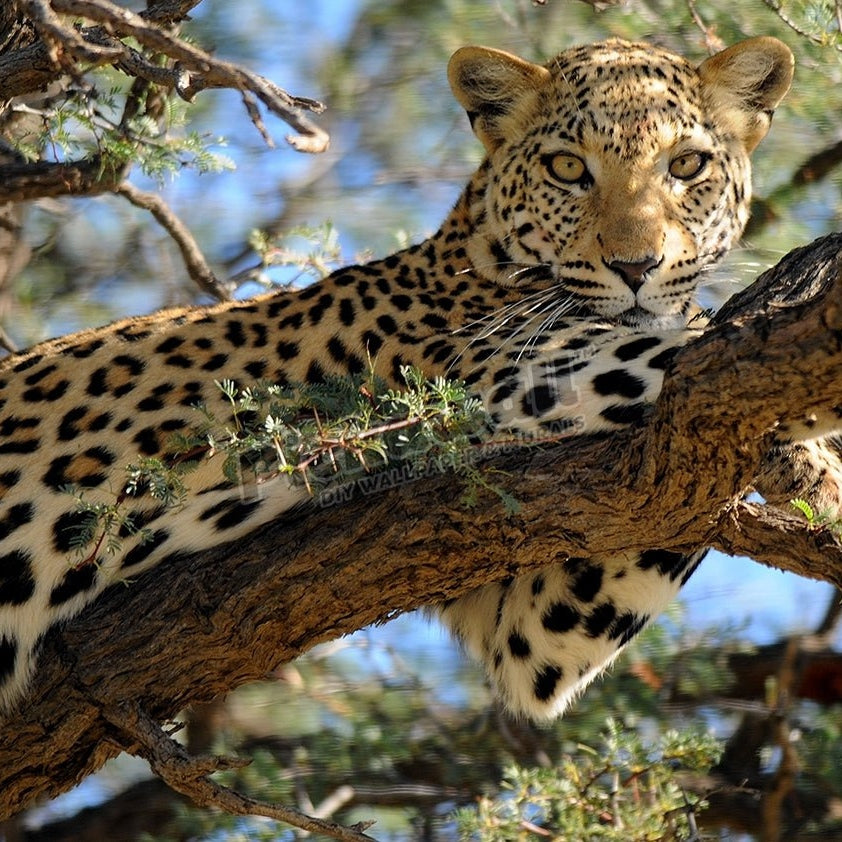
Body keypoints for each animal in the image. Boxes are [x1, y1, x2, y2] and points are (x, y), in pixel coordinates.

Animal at [0, 34, 821, 722]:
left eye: (687, 166)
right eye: (568, 169)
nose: (636, 267)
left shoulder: (535, 624)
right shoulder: (506, 371)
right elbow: (679, 351)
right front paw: (812, 451)